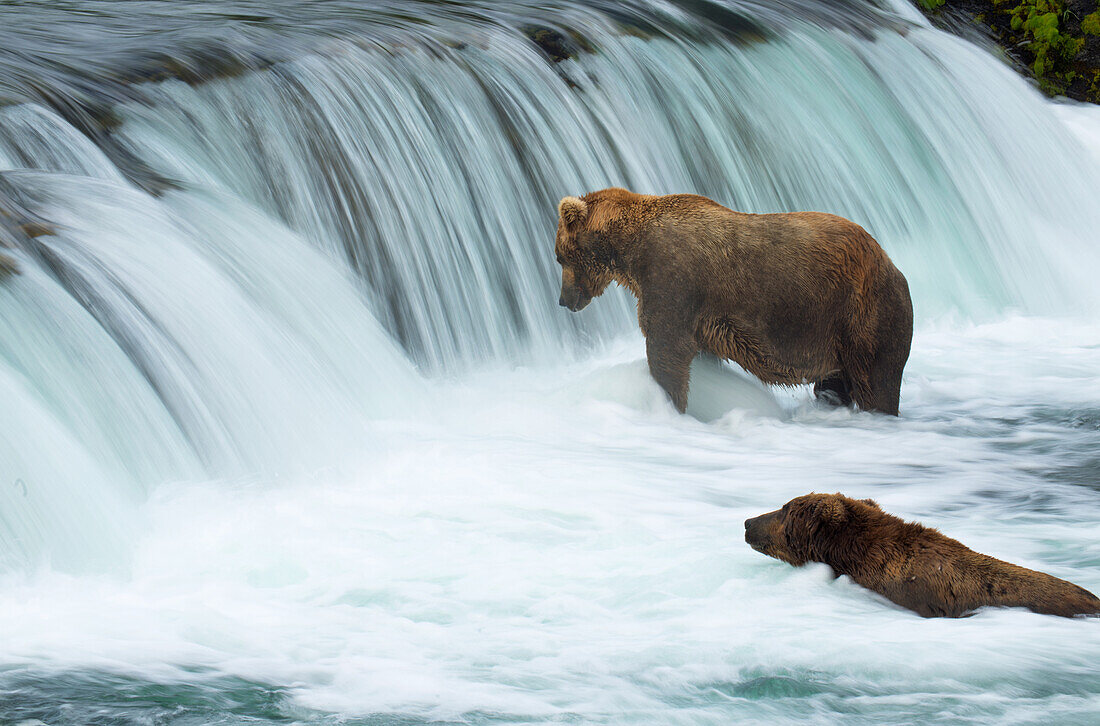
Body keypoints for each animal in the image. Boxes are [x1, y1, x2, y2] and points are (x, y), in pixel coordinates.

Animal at [554, 187, 915, 413]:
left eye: (559, 257)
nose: (562, 299)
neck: (630, 251)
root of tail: (892, 264)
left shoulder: (672, 282)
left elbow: (667, 350)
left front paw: (670, 401)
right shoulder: (700, 313)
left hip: (861, 316)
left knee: (877, 381)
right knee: (835, 384)